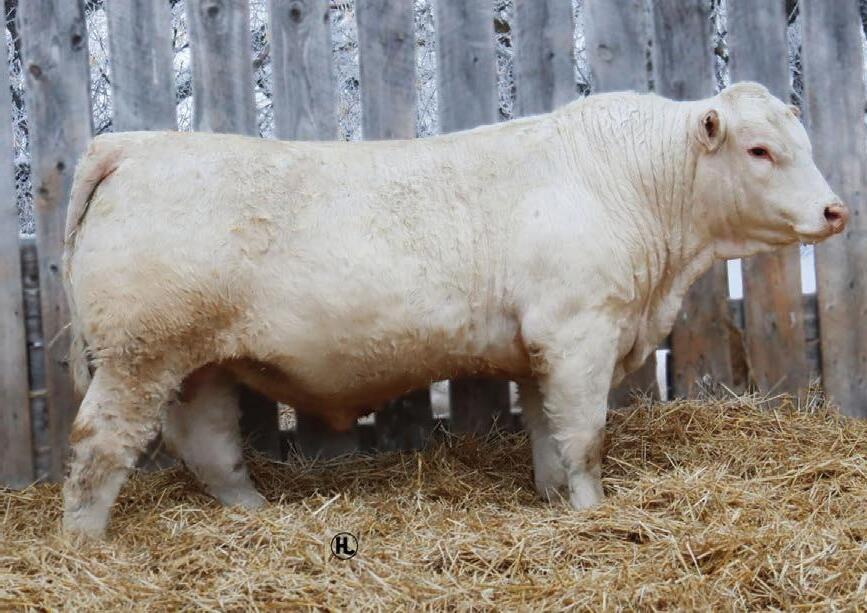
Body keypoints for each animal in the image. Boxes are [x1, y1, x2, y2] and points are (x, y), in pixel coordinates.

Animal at [61, 82, 847, 537]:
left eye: (802, 141)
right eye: (759, 149)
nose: (834, 210)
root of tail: (131, 144)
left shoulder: (540, 350)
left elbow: (547, 434)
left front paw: (553, 498)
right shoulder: (580, 332)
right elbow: (585, 436)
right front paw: (592, 511)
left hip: (196, 362)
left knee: (208, 444)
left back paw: (255, 513)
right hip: (139, 354)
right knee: (99, 444)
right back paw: (86, 543)